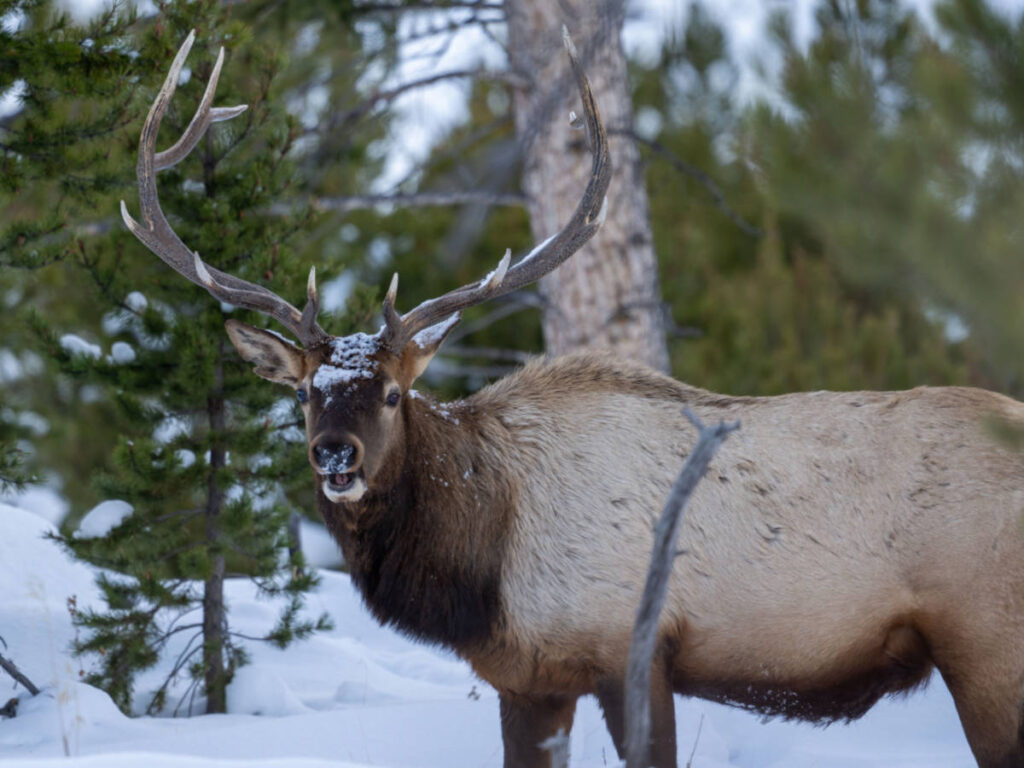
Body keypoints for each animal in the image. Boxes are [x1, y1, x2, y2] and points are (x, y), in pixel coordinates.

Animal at [120, 30, 1024, 768]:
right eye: (307, 392)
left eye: (391, 393)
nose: (334, 455)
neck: (482, 562)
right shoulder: (529, 678)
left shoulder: (635, 651)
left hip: (988, 645)